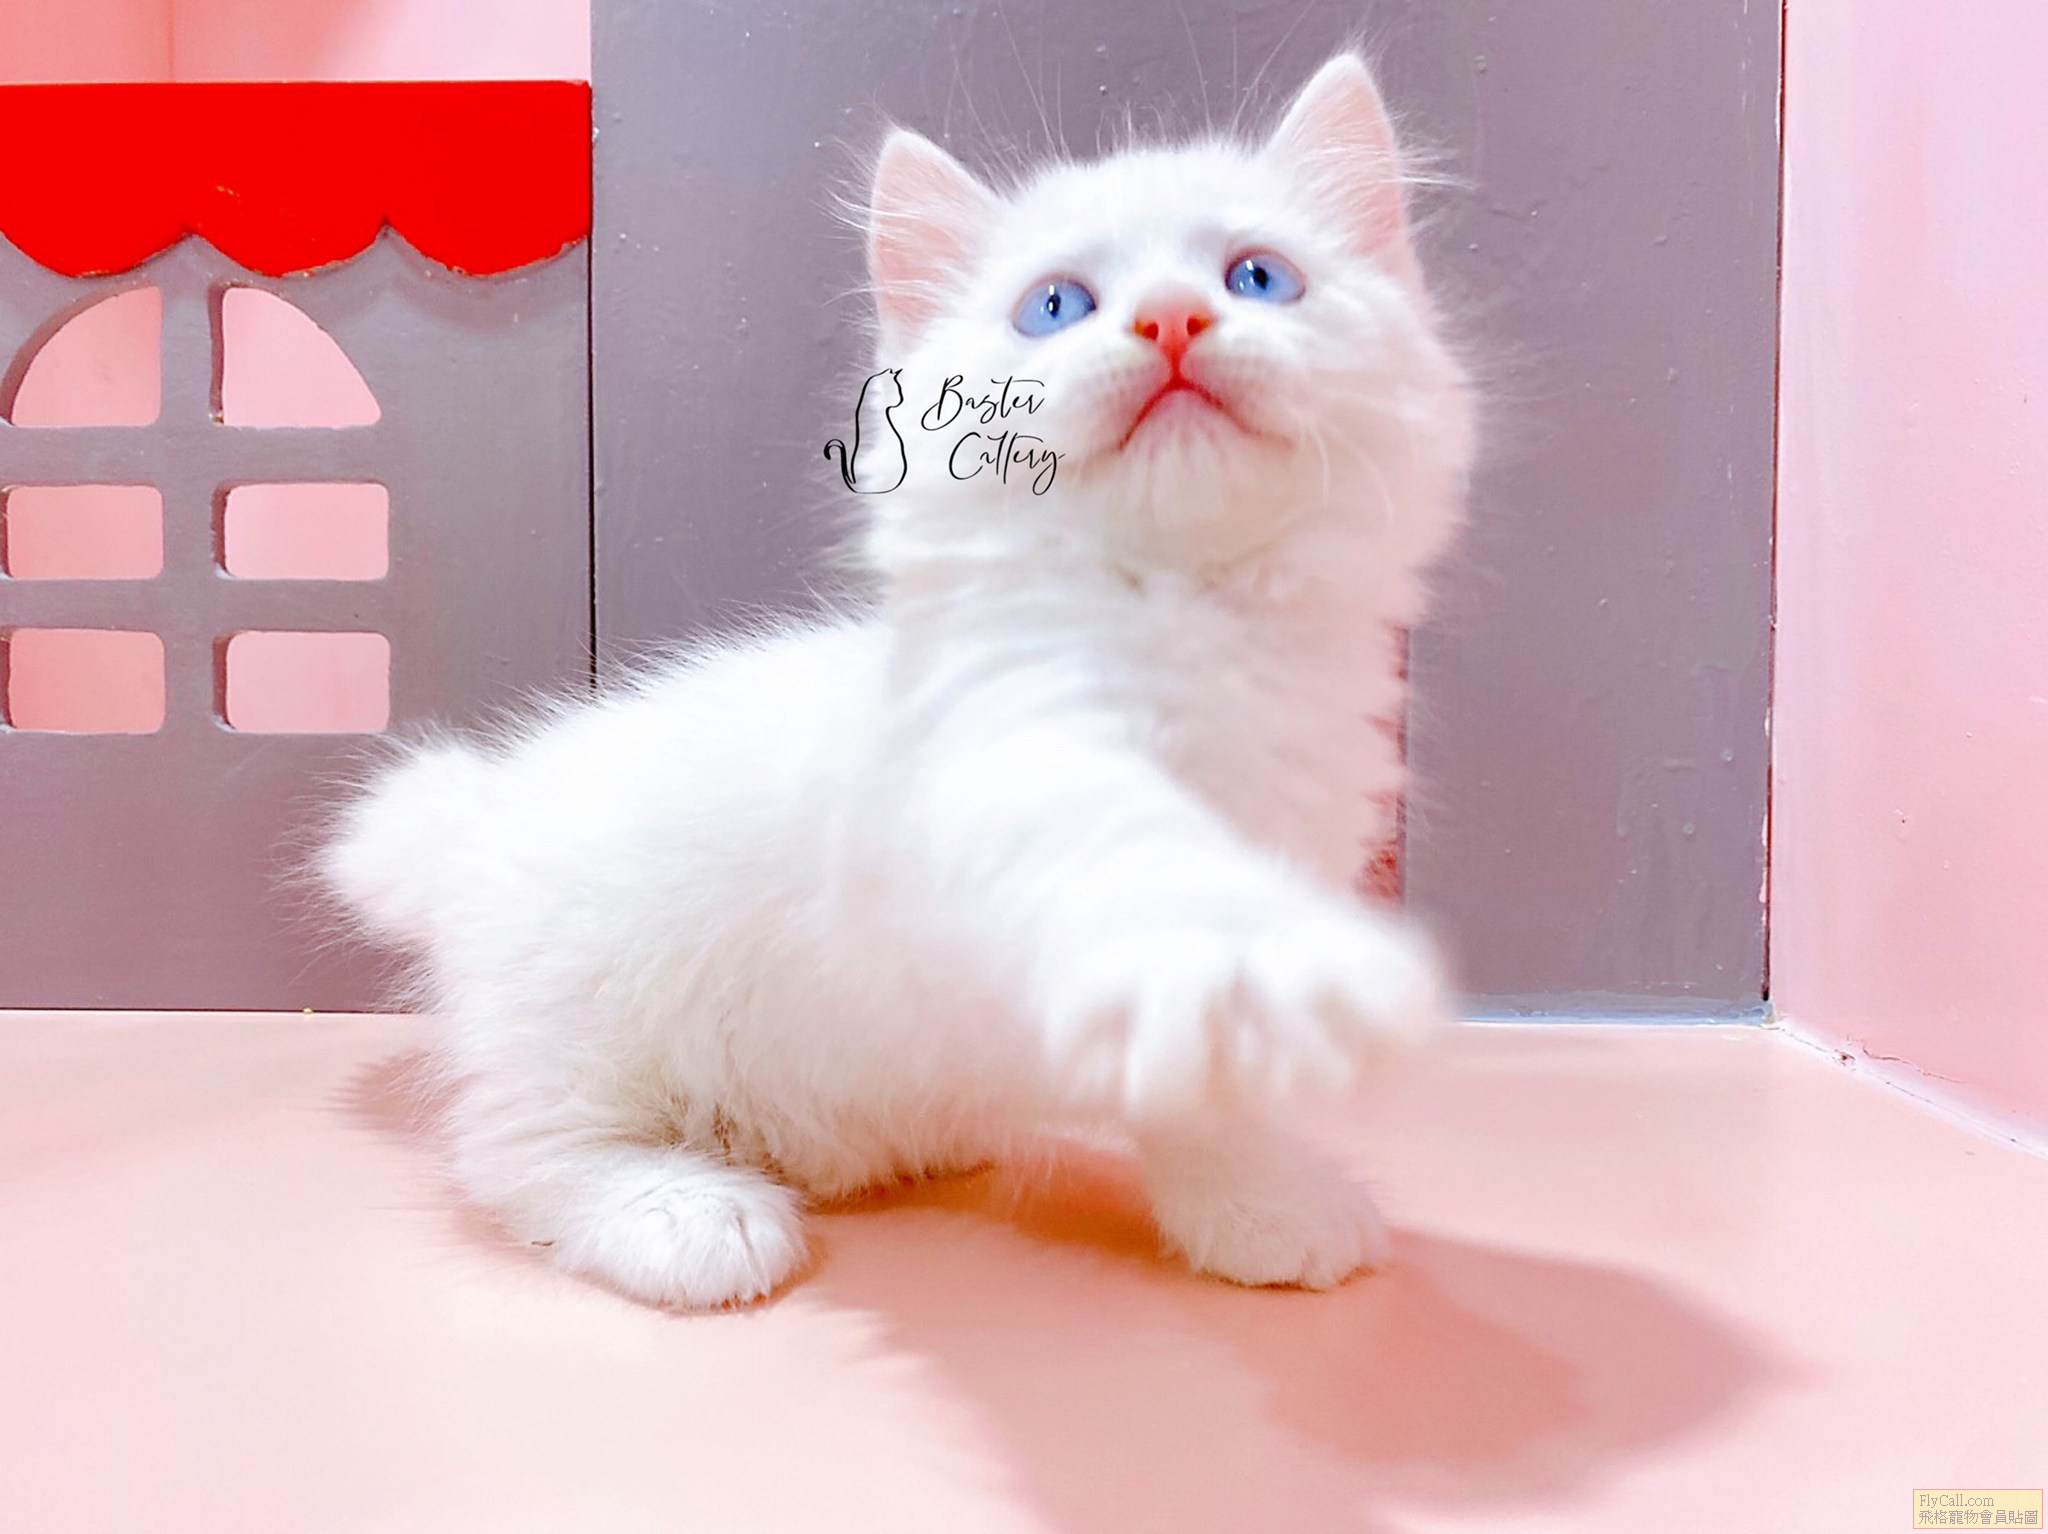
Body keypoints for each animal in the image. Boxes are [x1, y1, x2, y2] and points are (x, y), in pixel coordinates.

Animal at [322, 53, 1474, 1308]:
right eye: (1055, 307)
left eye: (1257, 278)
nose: (1173, 317)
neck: (1182, 620)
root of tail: (477, 822)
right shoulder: (1001, 794)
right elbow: (1147, 891)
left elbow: (1213, 1080)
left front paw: (1258, 1203)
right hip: (584, 1018)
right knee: (518, 1156)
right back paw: (685, 1212)